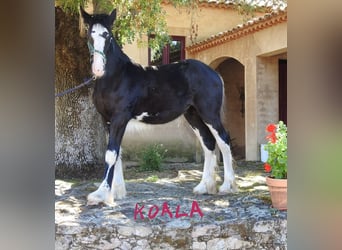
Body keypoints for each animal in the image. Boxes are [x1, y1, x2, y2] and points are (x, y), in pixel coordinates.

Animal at [80, 7, 236, 205]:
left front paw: (101, 194)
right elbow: (117, 153)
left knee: (223, 141)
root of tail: (214, 73)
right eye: (89, 34)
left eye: (107, 34)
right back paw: (203, 187)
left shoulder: (119, 118)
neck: (117, 76)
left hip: (209, 113)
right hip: (193, 115)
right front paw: (117, 192)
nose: (98, 69)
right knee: (208, 142)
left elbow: (111, 154)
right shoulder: (107, 120)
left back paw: (227, 186)